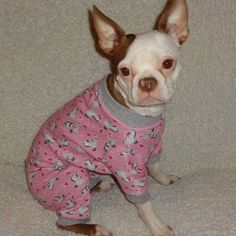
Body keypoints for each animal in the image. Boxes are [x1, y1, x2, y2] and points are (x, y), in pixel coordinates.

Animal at [24, 0, 189, 235]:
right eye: (125, 71)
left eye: (168, 63)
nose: (147, 82)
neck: (143, 114)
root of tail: (32, 190)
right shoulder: (127, 167)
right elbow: (144, 202)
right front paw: (157, 227)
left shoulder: (154, 144)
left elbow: (155, 166)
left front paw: (164, 179)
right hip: (70, 179)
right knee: (64, 220)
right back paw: (95, 228)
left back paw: (102, 184)